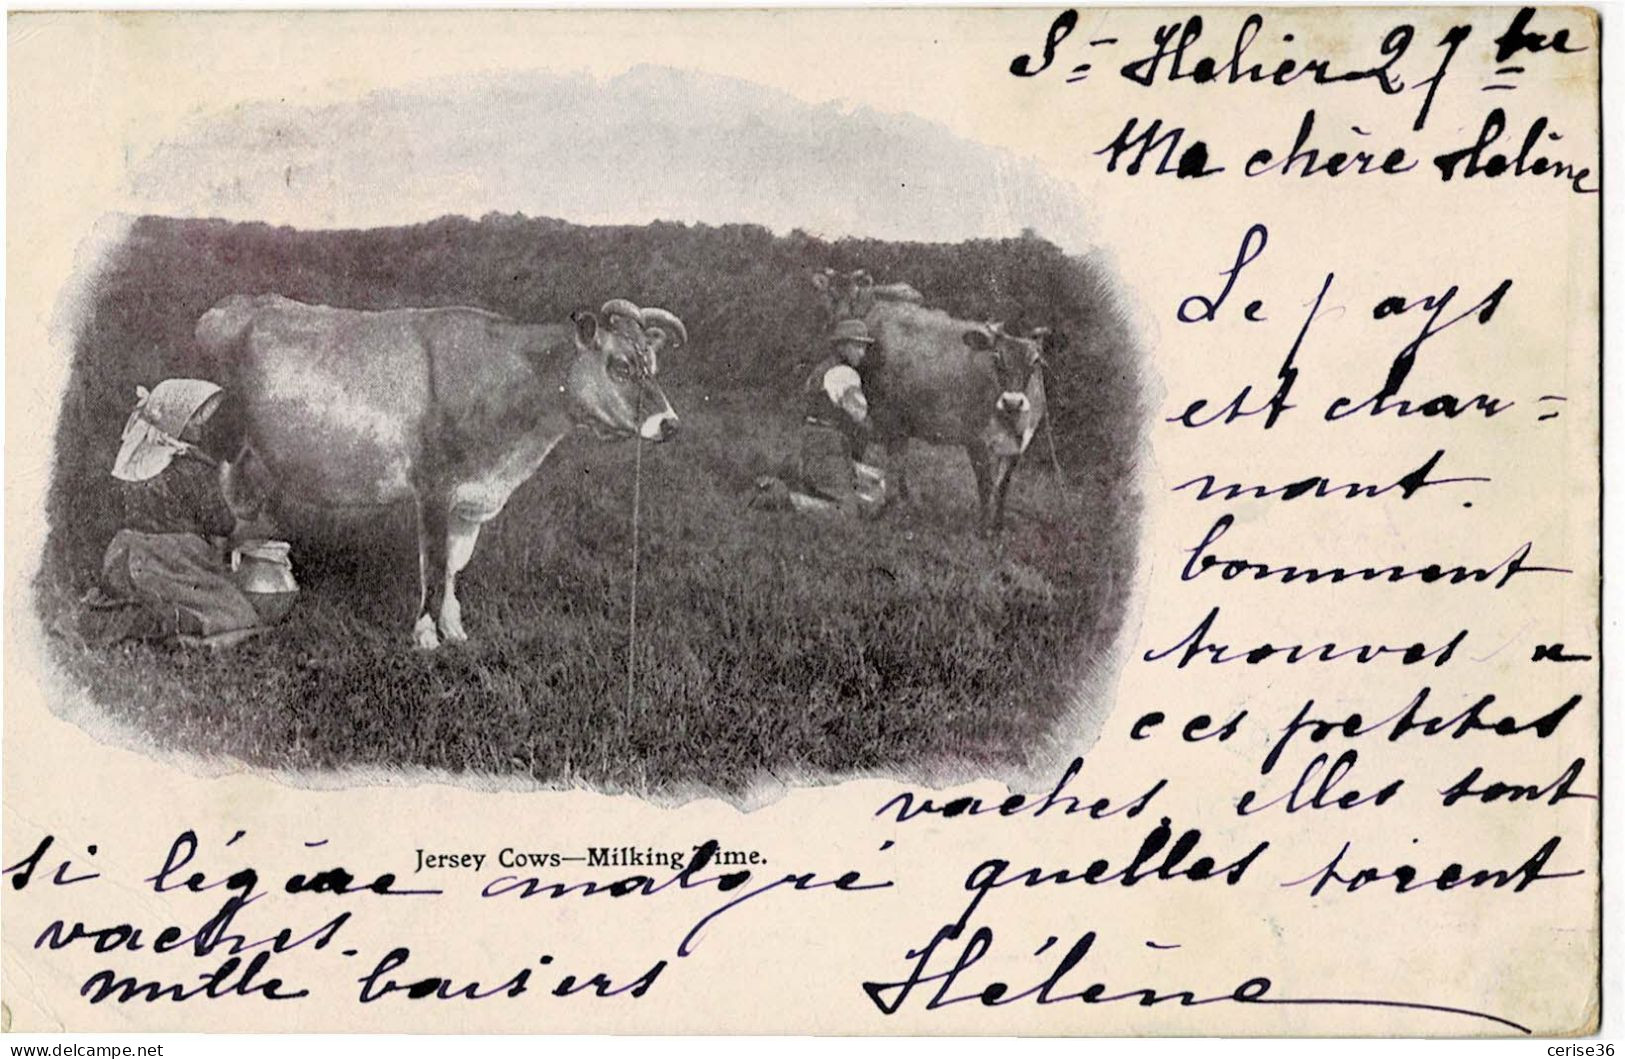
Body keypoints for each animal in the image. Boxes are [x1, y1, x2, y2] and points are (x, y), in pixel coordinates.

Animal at [196, 293, 685, 649]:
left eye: (652, 365)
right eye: (620, 366)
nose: (670, 423)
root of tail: (232, 304)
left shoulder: (470, 498)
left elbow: (454, 565)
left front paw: (454, 630)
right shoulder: (433, 488)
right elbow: (432, 564)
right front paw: (426, 635)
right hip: (228, 448)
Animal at [812, 269, 1053, 532]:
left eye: (1036, 360)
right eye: (996, 357)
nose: (1012, 402)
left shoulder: (1017, 447)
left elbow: (1002, 489)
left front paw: (997, 528)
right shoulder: (975, 439)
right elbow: (985, 487)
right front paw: (982, 530)